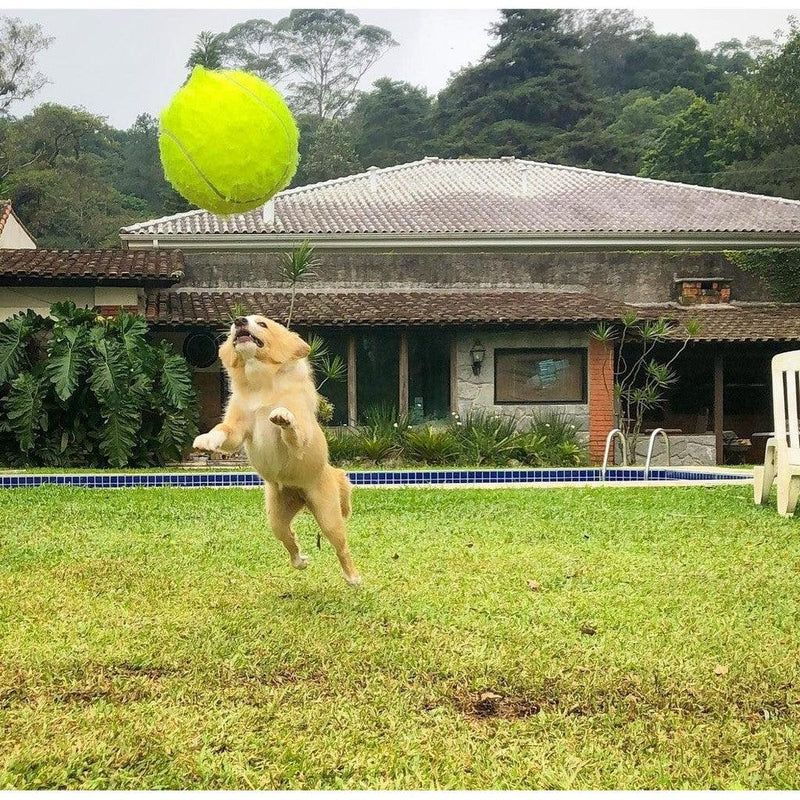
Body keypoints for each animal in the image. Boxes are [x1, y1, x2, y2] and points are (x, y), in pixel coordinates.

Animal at [191, 316, 360, 584]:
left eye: (262, 324)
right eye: (237, 324)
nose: (238, 320)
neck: (261, 384)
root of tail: (300, 495)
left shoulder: (299, 435)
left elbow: (293, 431)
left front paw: (283, 417)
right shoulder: (237, 429)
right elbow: (224, 430)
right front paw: (207, 439)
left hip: (328, 516)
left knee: (341, 546)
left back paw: (352, 577)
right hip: (276, 517)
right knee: (289, 537)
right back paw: (299, 560)